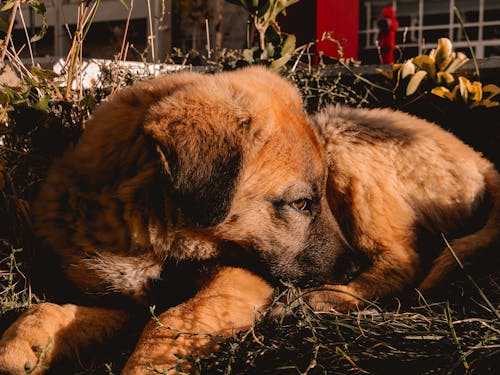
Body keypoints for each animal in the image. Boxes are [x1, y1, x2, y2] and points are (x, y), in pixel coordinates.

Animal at [0, 67, 352, 374]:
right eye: (301, 203)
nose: (353, 267)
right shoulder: (127, 305)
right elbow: (48, 309)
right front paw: (23, 347)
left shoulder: (238, 278)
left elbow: (175, 318)